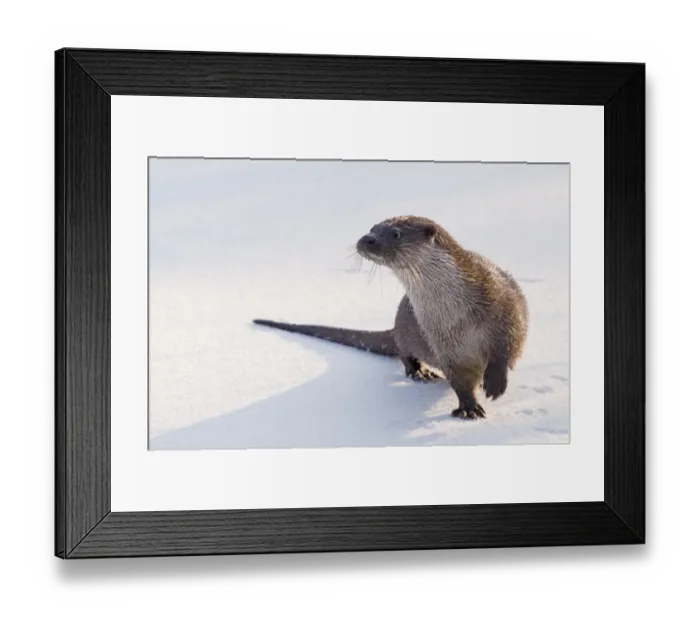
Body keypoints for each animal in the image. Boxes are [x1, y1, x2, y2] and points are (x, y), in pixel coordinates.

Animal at [254, 216, 528, 420]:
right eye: (372, 228)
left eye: (396, 234)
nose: (366, 239)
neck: (458, 314)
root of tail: (394, 325)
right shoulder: (443, 344)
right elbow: (459, 380)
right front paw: (468, 408)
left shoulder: (505, 307)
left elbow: (508, 346)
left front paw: (494, 382)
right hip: (406, 333)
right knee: (403, 351)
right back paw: (420, 372)